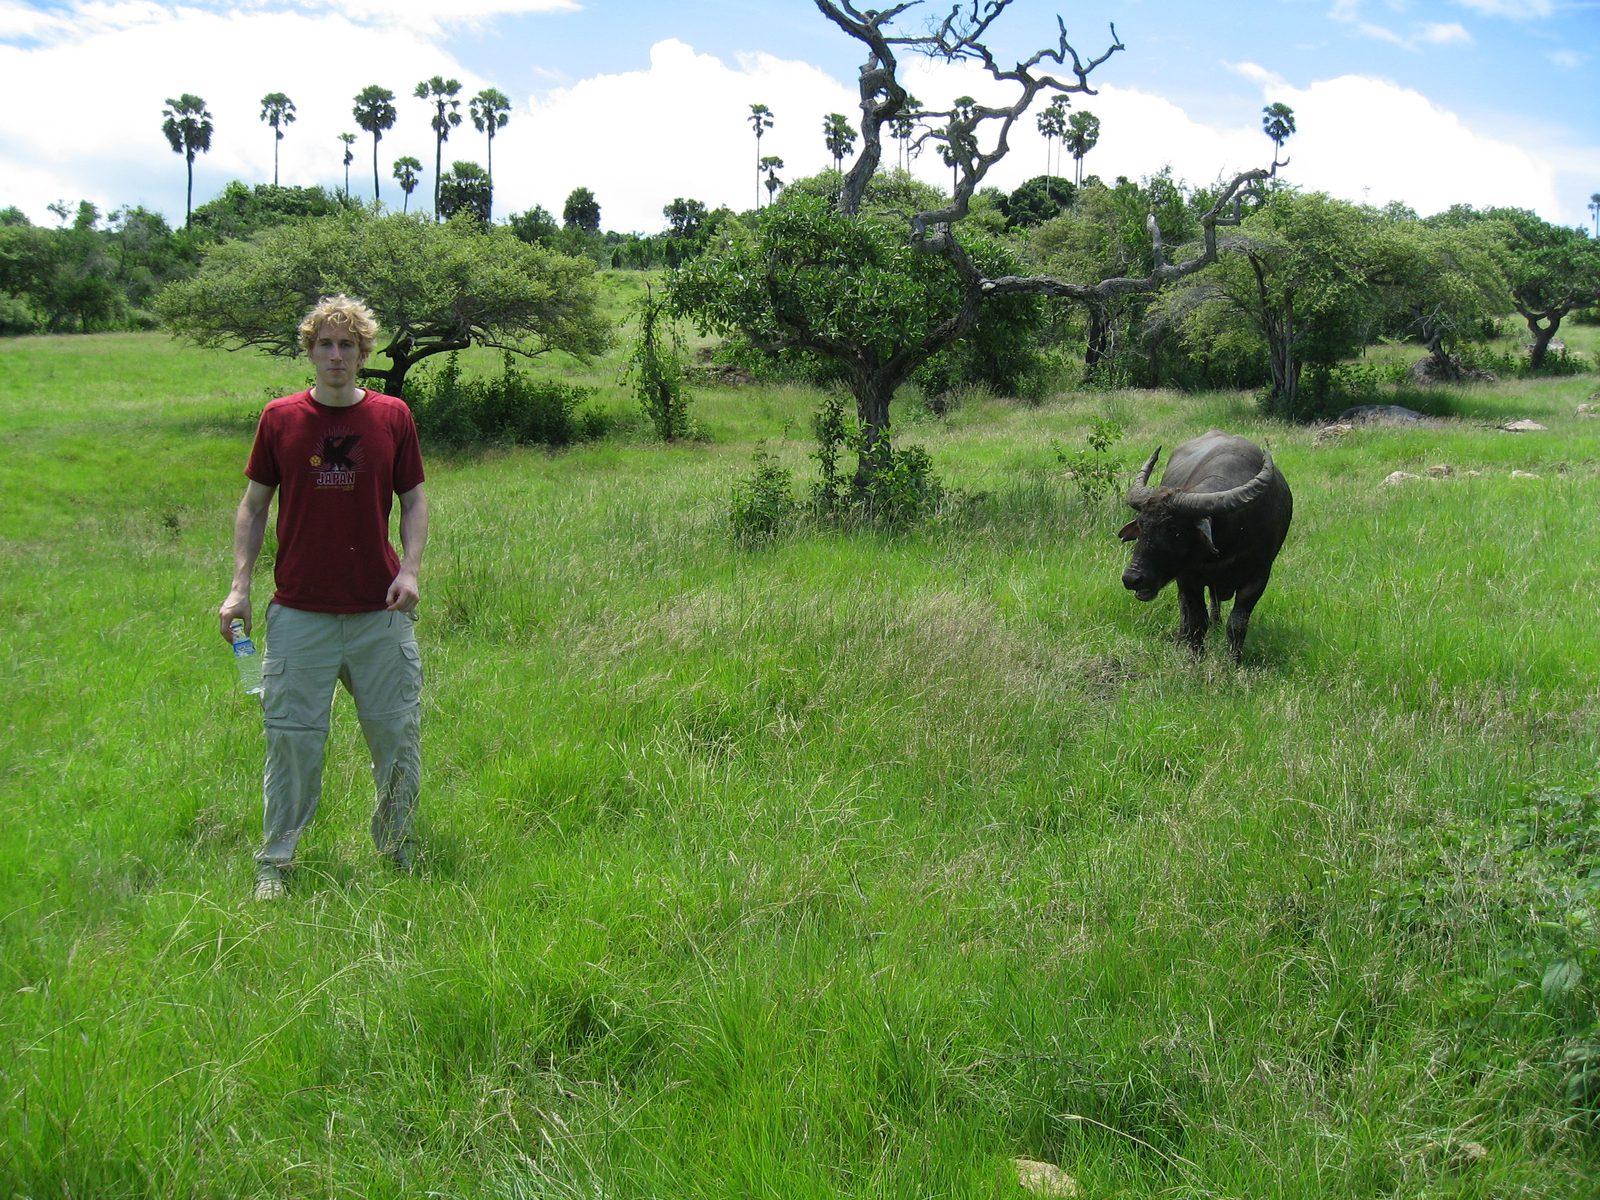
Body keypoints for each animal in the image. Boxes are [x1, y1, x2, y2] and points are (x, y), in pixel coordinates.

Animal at [1118, 430, 1292, 661]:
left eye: (1174, 530)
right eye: (1141, 524)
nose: (1132, 578)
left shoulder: (1259, 575)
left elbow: (1237, 623)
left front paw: (1233, 661)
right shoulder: (1188, 577)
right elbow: (1196, 621)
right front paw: (1195, 658)